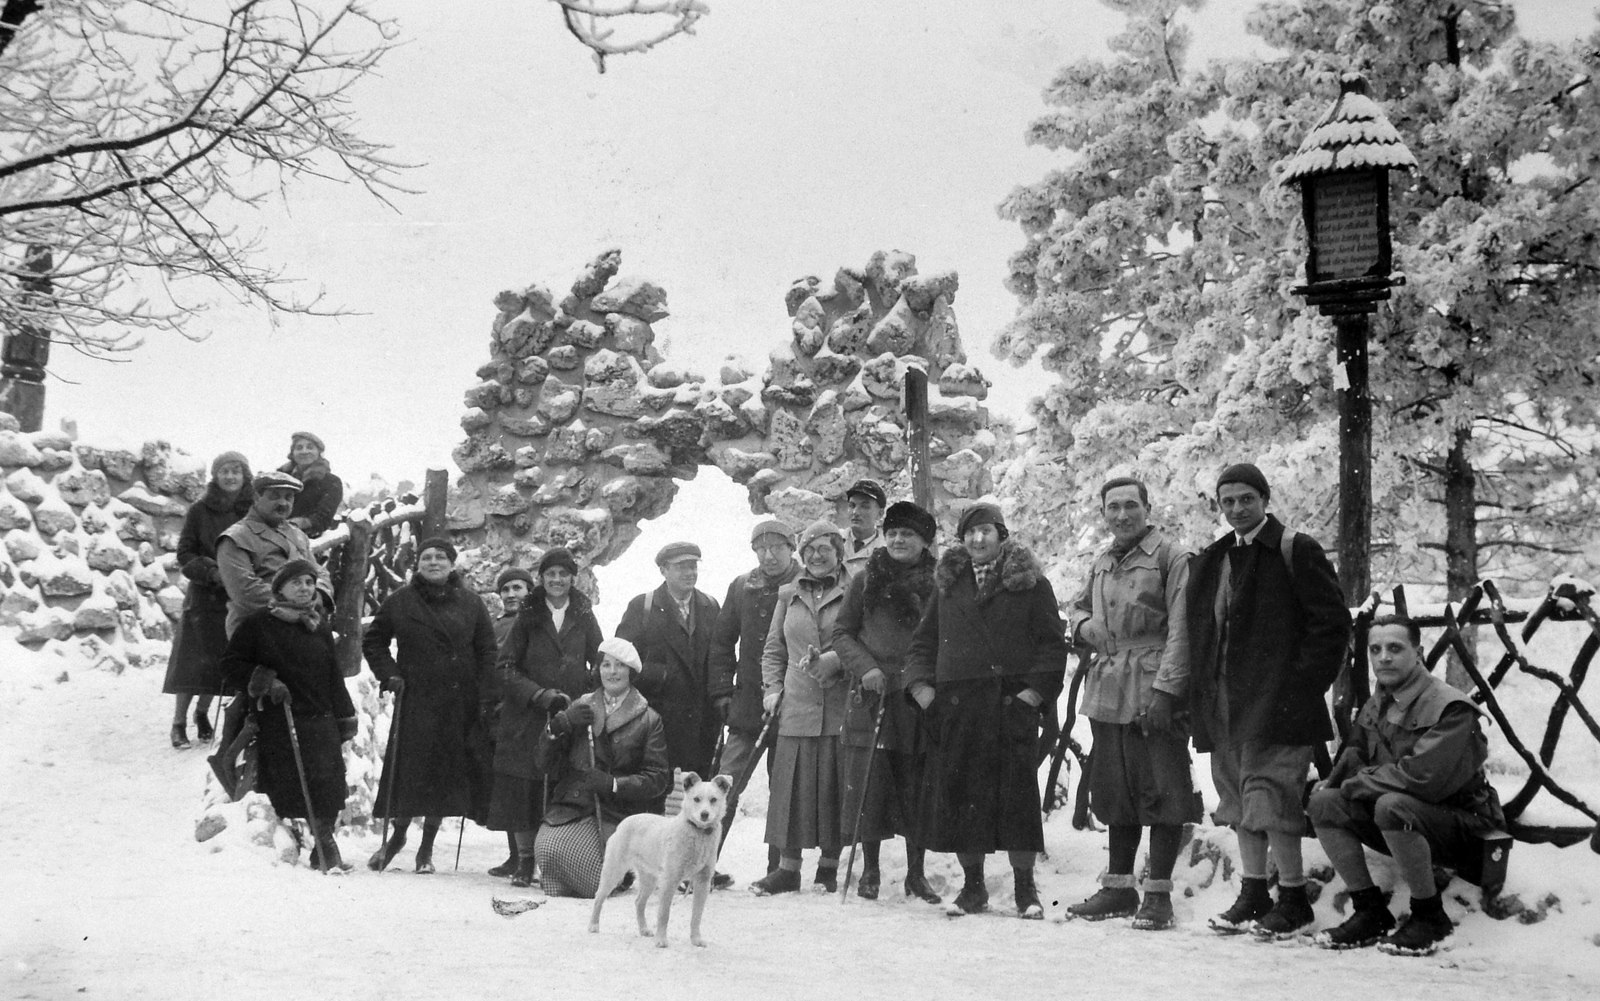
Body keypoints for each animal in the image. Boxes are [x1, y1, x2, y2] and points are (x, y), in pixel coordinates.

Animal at [592, 767, 732, 946]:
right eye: (696, 799)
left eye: (714, 799)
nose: (704, 814)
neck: (699, 832)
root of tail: (624, 822)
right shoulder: (670, 880)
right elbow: (664, 914)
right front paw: (661, 940)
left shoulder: (703, 881)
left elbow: (697, 915)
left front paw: (696, 939)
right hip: (614, 871)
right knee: (599, 896)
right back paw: (593, 925)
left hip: (649, 878)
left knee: (639, 902)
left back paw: (644, 930)